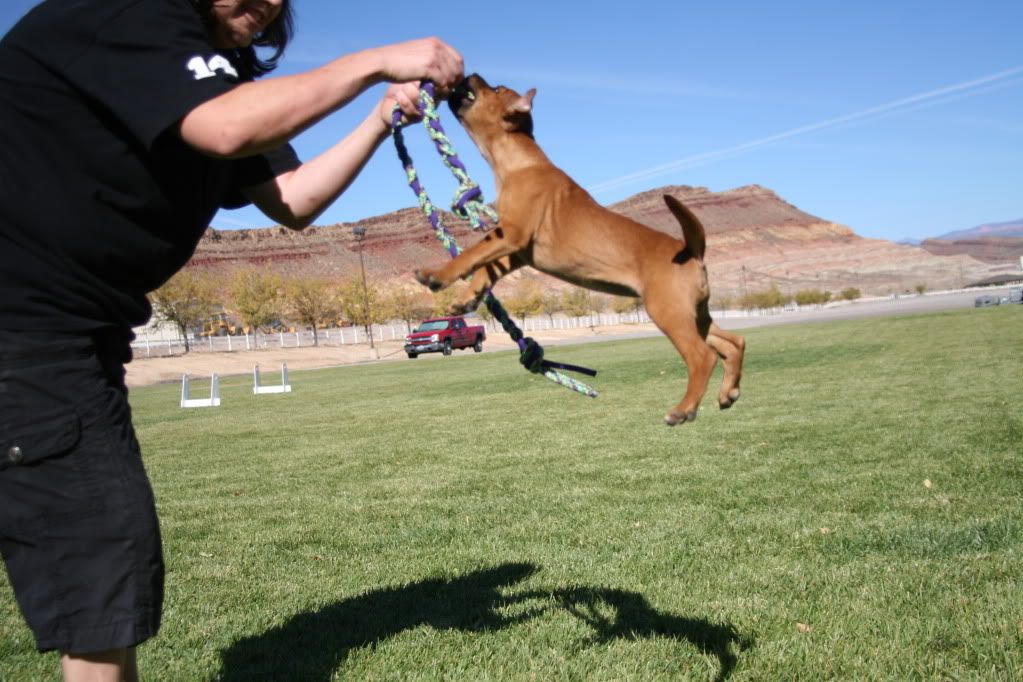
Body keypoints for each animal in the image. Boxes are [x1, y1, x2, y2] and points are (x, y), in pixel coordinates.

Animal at [413, 76, 744, 427]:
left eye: (497, 88)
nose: (469, 74)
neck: (519, 163)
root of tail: (692, 251)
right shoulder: (517, 251)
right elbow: (485, 269)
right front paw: (466, 298)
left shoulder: (512, 234)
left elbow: (470, 255)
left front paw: (435, 275)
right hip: (695, 313)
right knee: (733, 342)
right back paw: (728, 393)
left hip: (669, 312)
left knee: (703, 356)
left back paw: (684, 409)